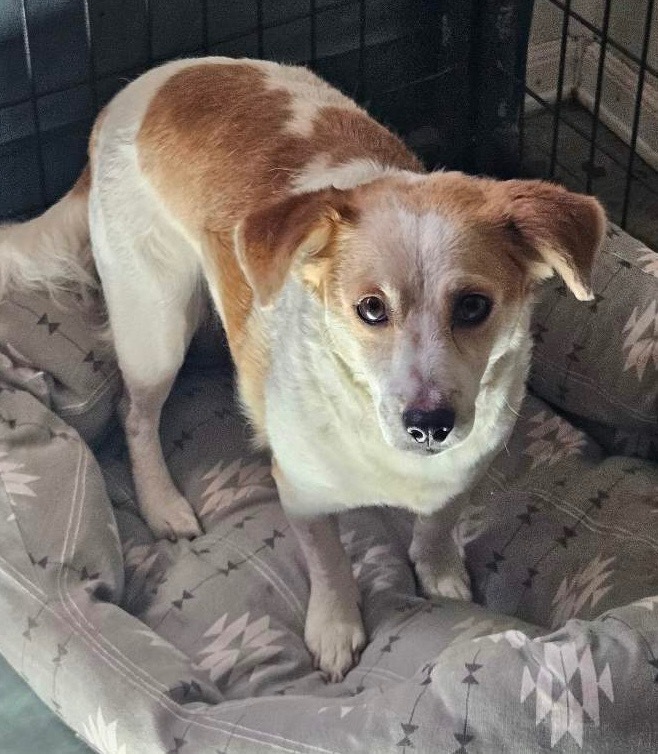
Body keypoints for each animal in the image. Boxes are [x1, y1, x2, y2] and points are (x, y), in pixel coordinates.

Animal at [1, 58, 604, 680]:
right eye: (371, 309)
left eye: (474, 307)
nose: (429, 424)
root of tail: (136, 91)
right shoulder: (302, 496)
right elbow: (329, 562)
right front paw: (335, 629)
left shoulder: (464, 470)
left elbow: (439, 522)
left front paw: (439, 573)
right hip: (156, 326)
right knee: (135, 413)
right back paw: (162, 504)